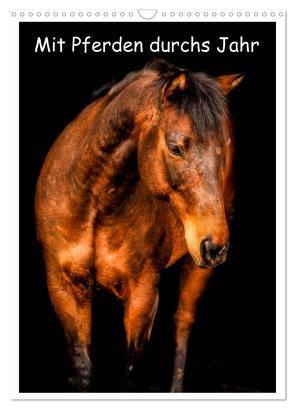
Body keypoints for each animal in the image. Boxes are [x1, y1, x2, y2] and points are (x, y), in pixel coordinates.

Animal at [34, 59, 244, 390]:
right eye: (175, 147)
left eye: (224, 147)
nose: (215, 246)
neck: (95, 203)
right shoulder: (64, 287)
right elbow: (82, 368)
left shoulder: (142, 296)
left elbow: (131, 372)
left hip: (197, 268)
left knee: (183, 323)